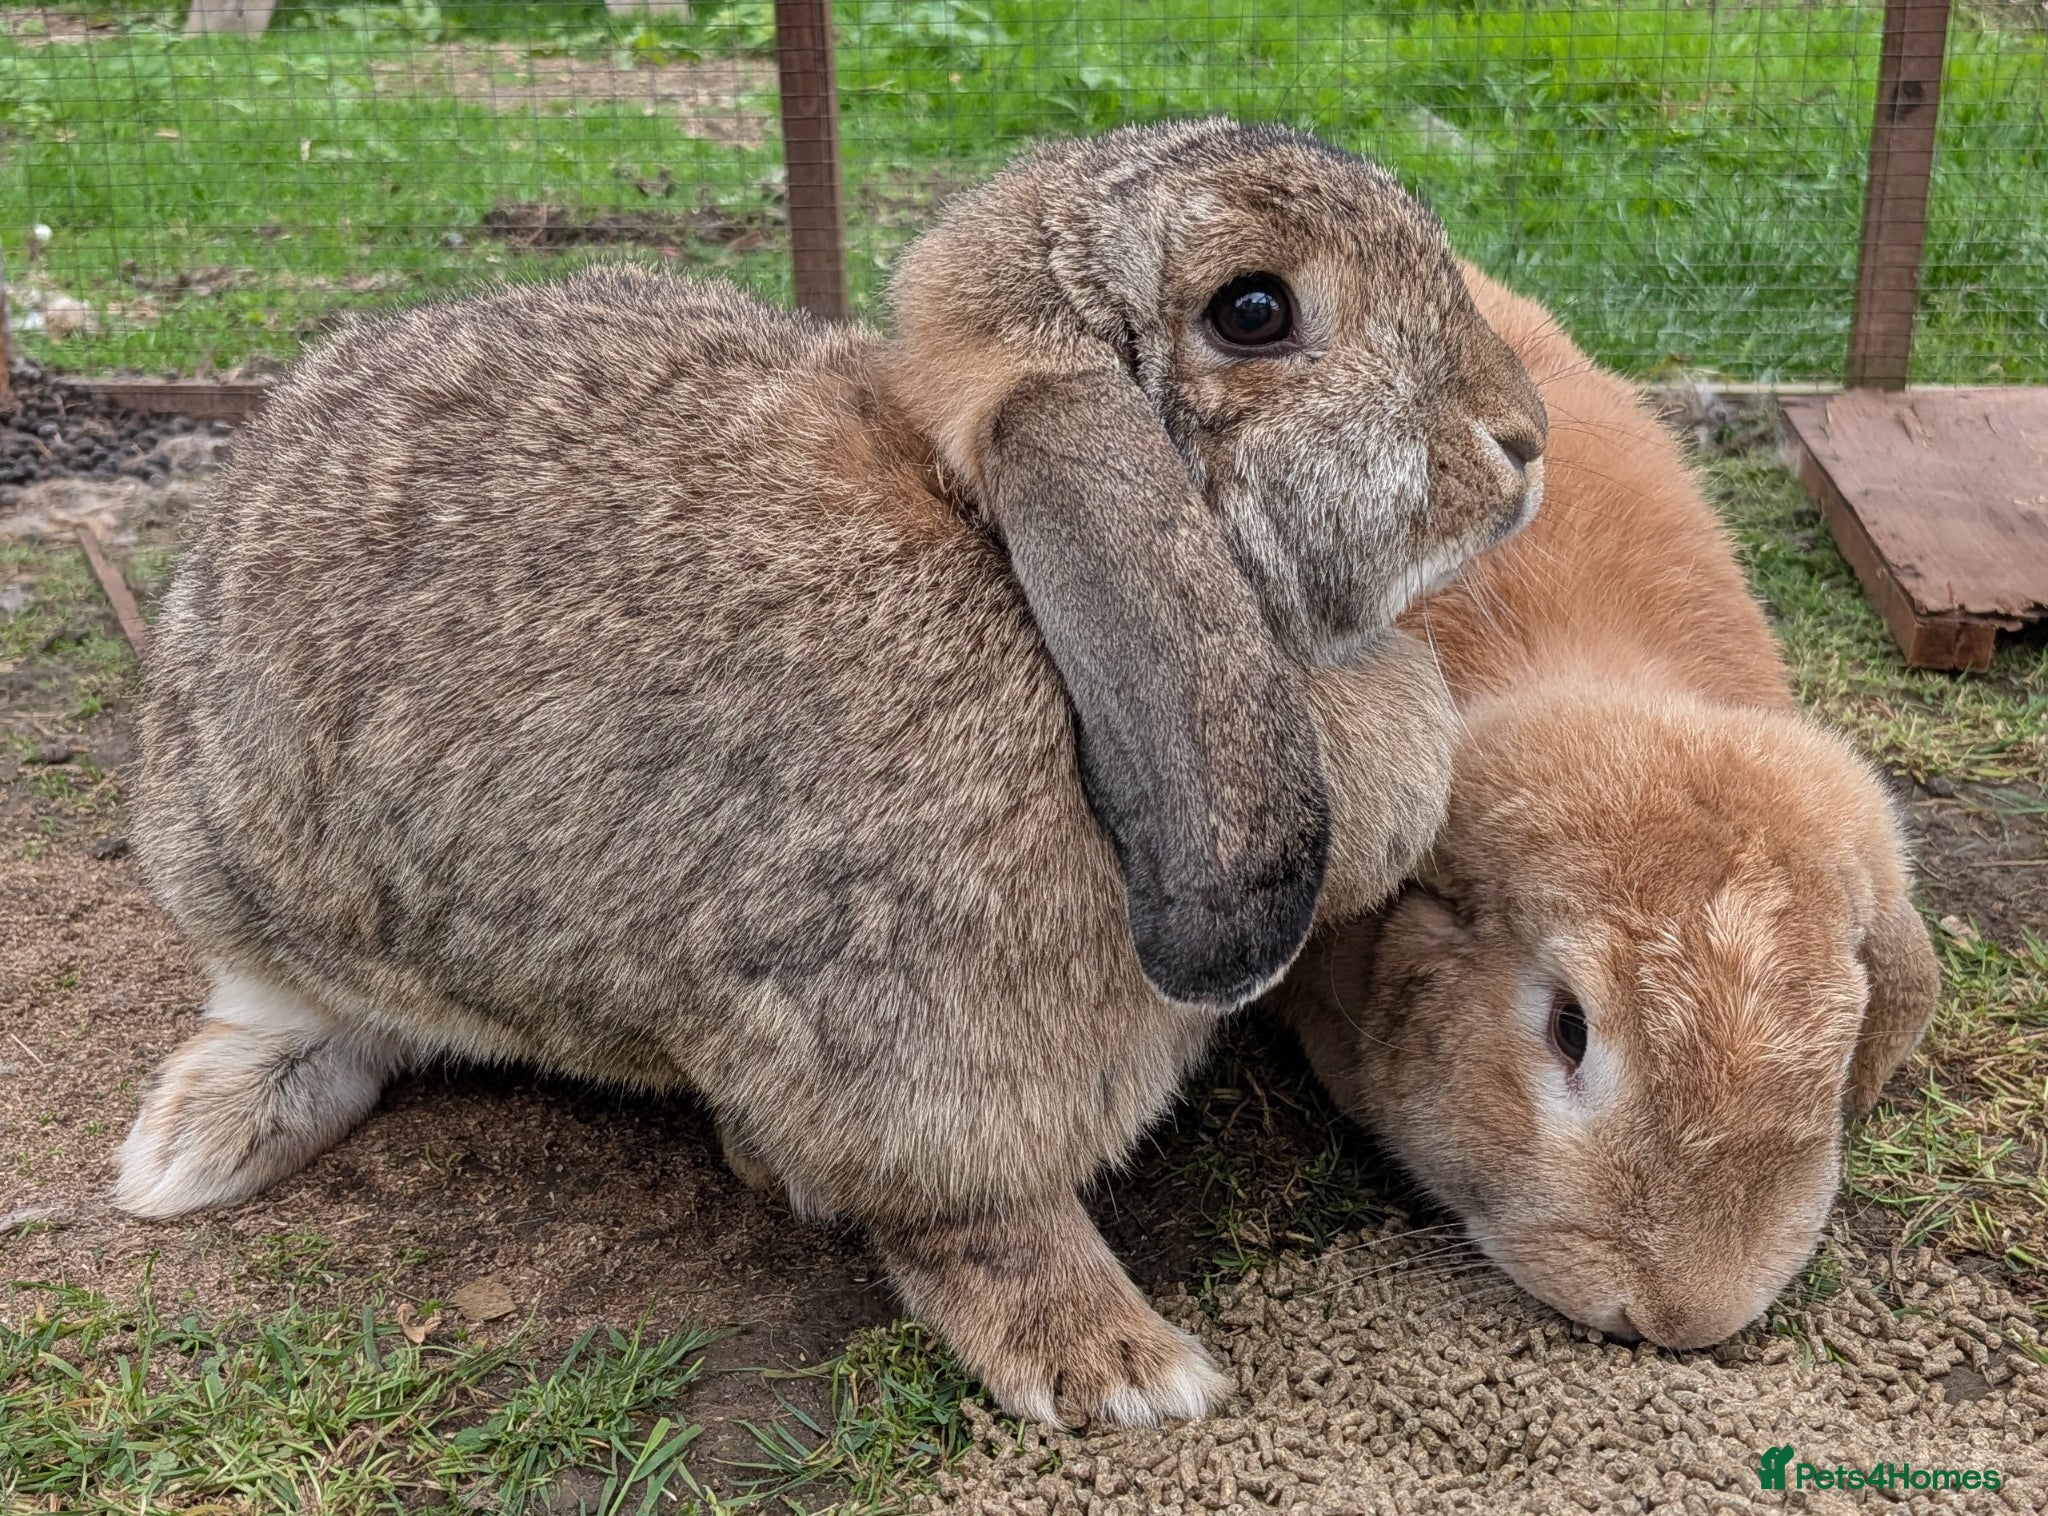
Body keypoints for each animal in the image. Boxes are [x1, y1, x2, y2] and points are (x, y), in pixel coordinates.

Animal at [113, 119, 1549, 1428]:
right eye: (1255, 310)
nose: (1524, 438)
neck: (1013, 567)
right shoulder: (919, 1066)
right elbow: (978, 1225)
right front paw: (1121, 1369)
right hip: (250, 884)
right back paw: (185, 1160)